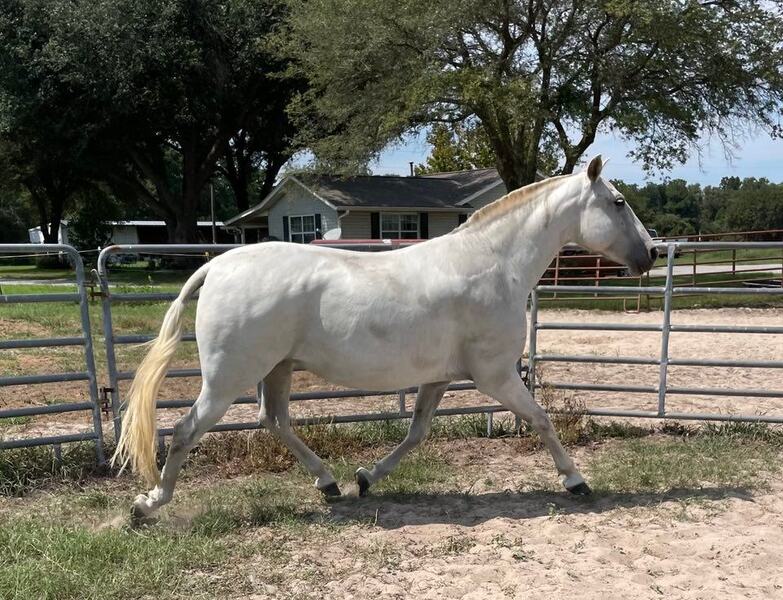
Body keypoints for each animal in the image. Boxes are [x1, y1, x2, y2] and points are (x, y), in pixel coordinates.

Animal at [114, 155, 658, 521]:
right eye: (618, 202)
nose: (651, 254)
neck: (494, 264)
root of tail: (219, 265)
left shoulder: (439, 379)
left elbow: (416, 433)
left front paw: (366, 478)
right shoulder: (495, 376)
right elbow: (542, 420)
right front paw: (576, 480)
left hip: (276, 369)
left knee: (275, 421)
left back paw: (330, 483)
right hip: (228, 379)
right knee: (187, 432)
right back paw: (149, 504)